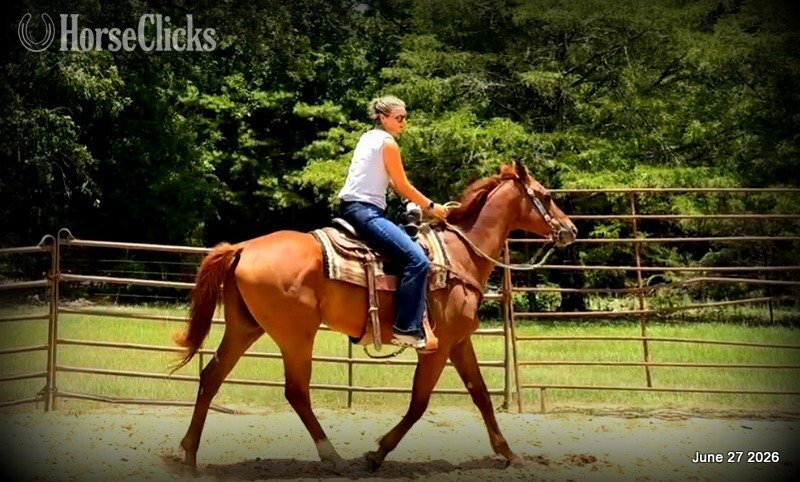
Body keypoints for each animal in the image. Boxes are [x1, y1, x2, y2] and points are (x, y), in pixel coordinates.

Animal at [172, 160, 577, 472]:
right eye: (545, 195)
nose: (570, 229)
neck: (459, 255)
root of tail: (243, 247)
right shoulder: (439, 345)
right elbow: (419, 403)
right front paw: (377, 453)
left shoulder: (460, 342)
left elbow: (481, 395)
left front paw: (508, 453)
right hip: (295, 335)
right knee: (296, 392)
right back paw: (332, 457)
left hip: (245, 328)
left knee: (211, 377)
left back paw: (189, 456)